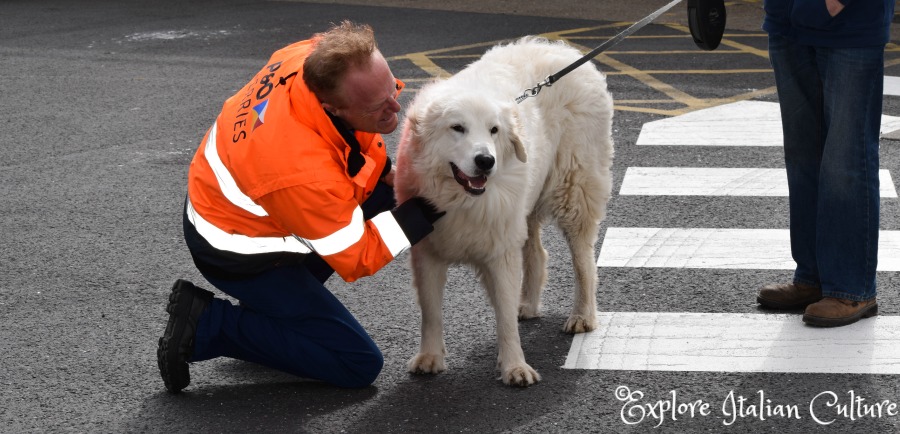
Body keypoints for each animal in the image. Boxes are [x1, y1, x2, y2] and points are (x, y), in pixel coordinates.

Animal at [398, 35, 616, 384]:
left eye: (494, 130)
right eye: (457, 128)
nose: (486, 161)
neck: (461, 198)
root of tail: (565, 49)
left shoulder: (500, 250)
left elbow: (504, 318)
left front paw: (514, 366)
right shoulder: (428, 252)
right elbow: (430, 312)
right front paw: (429, 357)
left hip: (574, 192)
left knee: (584, 260)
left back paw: (582, 315)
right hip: (526, 207)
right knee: (538, 253)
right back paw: (527, 304)